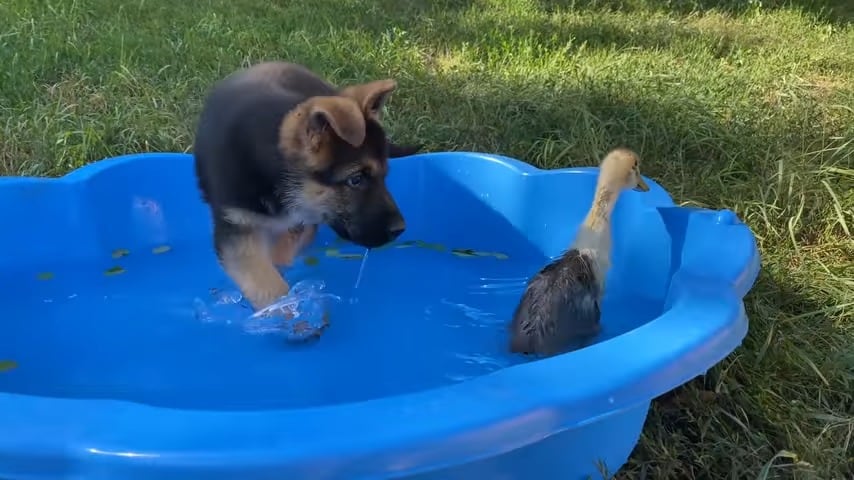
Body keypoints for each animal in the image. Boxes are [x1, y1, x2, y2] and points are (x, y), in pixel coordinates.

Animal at [196, 62, 418, 310]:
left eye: (384, 176)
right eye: (355, 179)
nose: (400, 229)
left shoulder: (300, 218)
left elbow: (280, 256)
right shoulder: (237, 228)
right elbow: (267, 282)